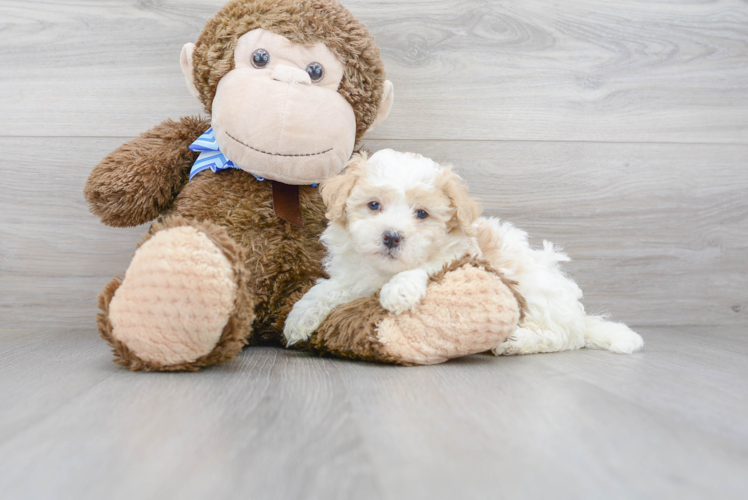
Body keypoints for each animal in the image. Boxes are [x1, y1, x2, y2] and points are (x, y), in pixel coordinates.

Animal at [284, 148, 644, 356]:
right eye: (374, 205)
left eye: (422, 214)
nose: (391, 237)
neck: (384, 271)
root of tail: (578, 315)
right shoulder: (353, 275)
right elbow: (328, 288)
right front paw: (299, 317)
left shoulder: (459, 255)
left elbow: (427, 266)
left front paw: (399, 290)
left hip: (538, 294)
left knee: (563, 337)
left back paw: (515, 343)